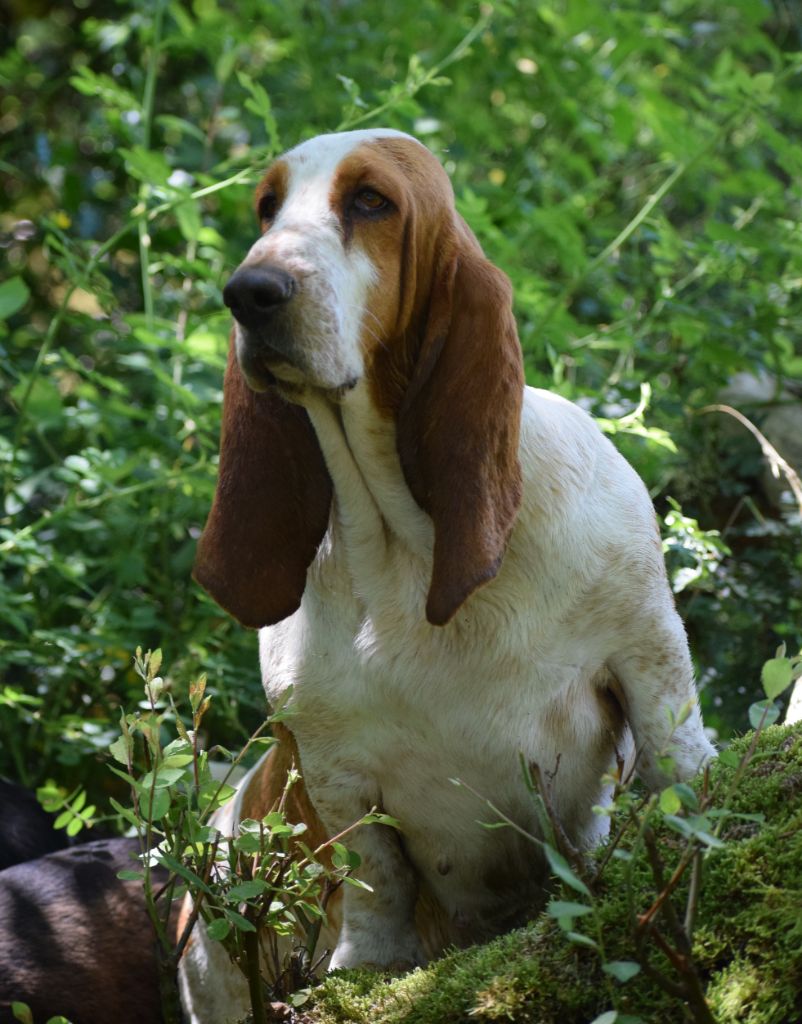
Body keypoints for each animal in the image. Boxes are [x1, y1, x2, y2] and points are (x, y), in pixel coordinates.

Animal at [189, 125, 716, 991]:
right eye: (267, 207)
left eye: (371, 201)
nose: (249, 292)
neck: (410, 543)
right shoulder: (332, 763)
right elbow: (374, 874)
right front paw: (366, 964)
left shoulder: (647, 648)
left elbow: (680, 765)